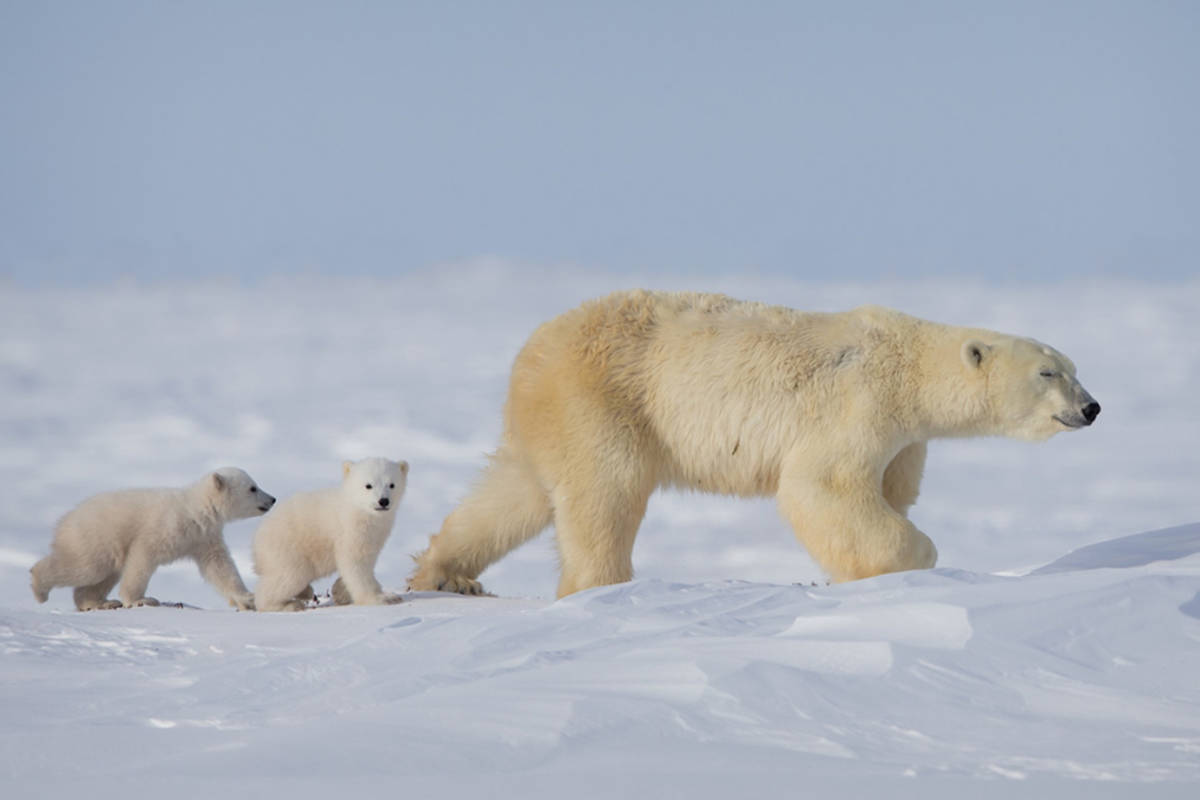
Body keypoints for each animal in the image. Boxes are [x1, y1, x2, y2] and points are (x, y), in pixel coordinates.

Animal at [31, 467, 274, 611]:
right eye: (253, 487)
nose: (272, 499)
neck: (194, 509)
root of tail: (65, 520)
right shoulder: (165, 526)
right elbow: (143, 557)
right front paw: (140, 600)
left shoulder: (204, 537)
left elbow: (219, 567)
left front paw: (247, 598)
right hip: (94, 536)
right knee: (85, 567)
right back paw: (39, 588)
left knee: (102, 576)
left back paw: (99, 602)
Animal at [252, 457, 409, 612]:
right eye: (368, 485)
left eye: (392, 484)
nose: (383, 501)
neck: (358, 509)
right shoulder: (349, 530)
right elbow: (356, 563)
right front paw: (381, 598)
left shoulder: (376, 535)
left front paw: (340, 592)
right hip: (288, 549)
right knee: (289, 577)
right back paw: (288, 605)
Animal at [408, 289, 1100, 598]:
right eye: (1049, 373)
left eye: (1073, 366)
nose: (1091, 408)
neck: (906, 365)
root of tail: (534, 352)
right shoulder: (858, 403)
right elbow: (822, 486)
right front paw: (913, 559)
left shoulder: (906, 441)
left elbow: (889, 493)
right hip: (604, 399)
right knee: (605, 492)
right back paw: (598, 586)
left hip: (547, 418)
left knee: (515, 493)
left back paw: (444, 575)